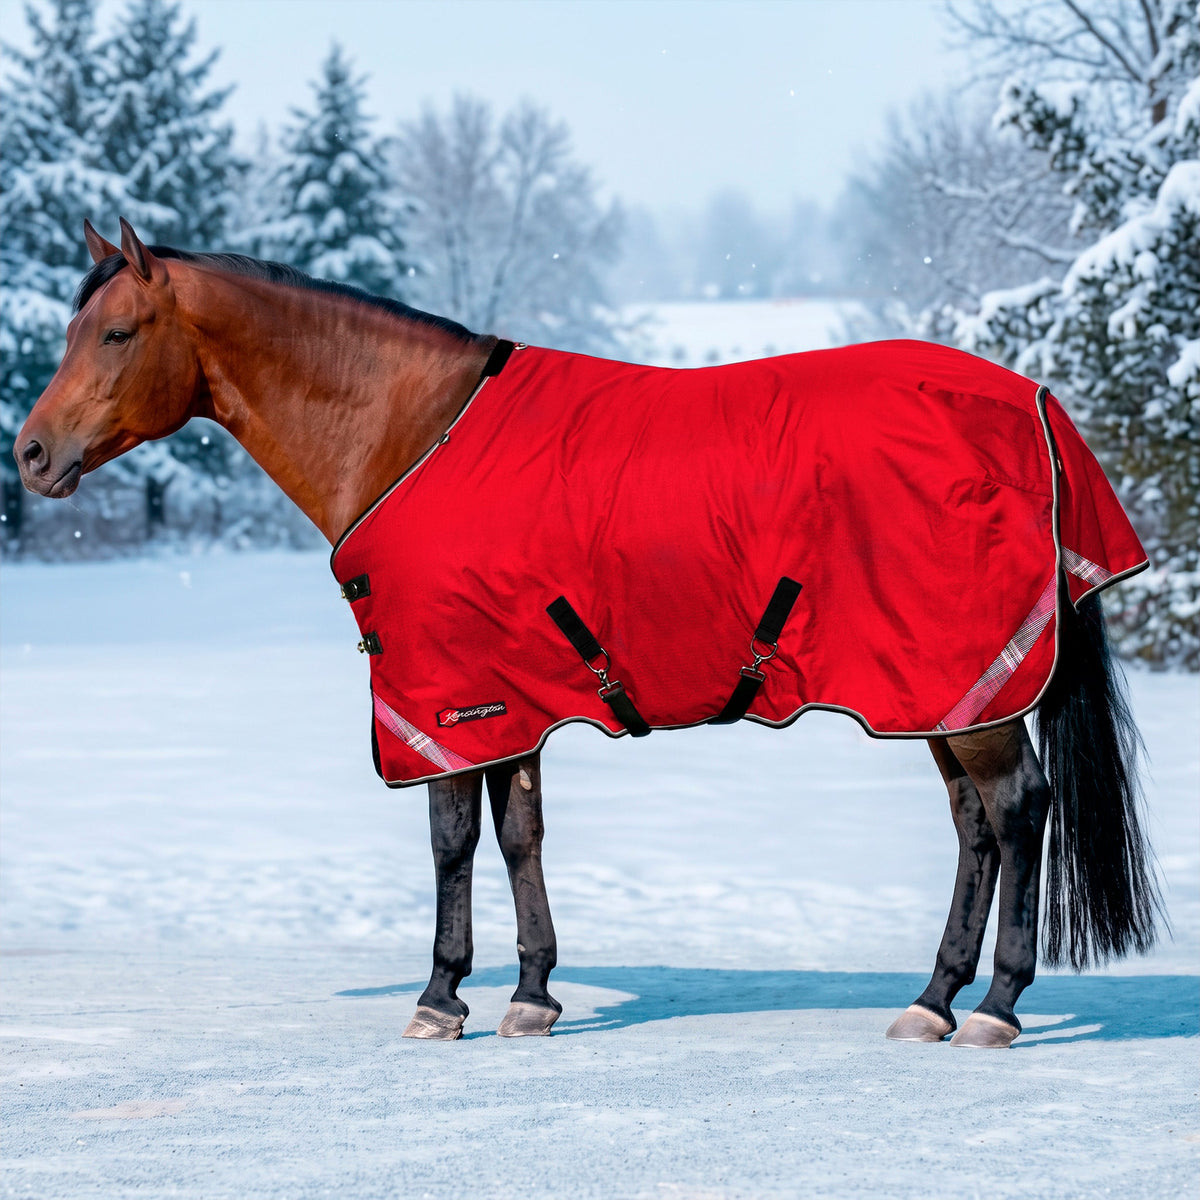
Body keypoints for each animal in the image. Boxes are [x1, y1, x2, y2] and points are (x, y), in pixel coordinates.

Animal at [14, 219, 1161, 1048]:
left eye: (116, 333)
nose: (30, 453)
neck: (410, 432)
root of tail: (1034, 404)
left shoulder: (444, 698)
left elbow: (450, 841)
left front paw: (439, 997)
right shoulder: (510, 699)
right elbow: (519, 834)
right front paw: (529, 994)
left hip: (968, 687)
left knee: (1017, 812)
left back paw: (996, 1008)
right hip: (940, 688)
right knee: (975, 828)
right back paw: (931, 1000)